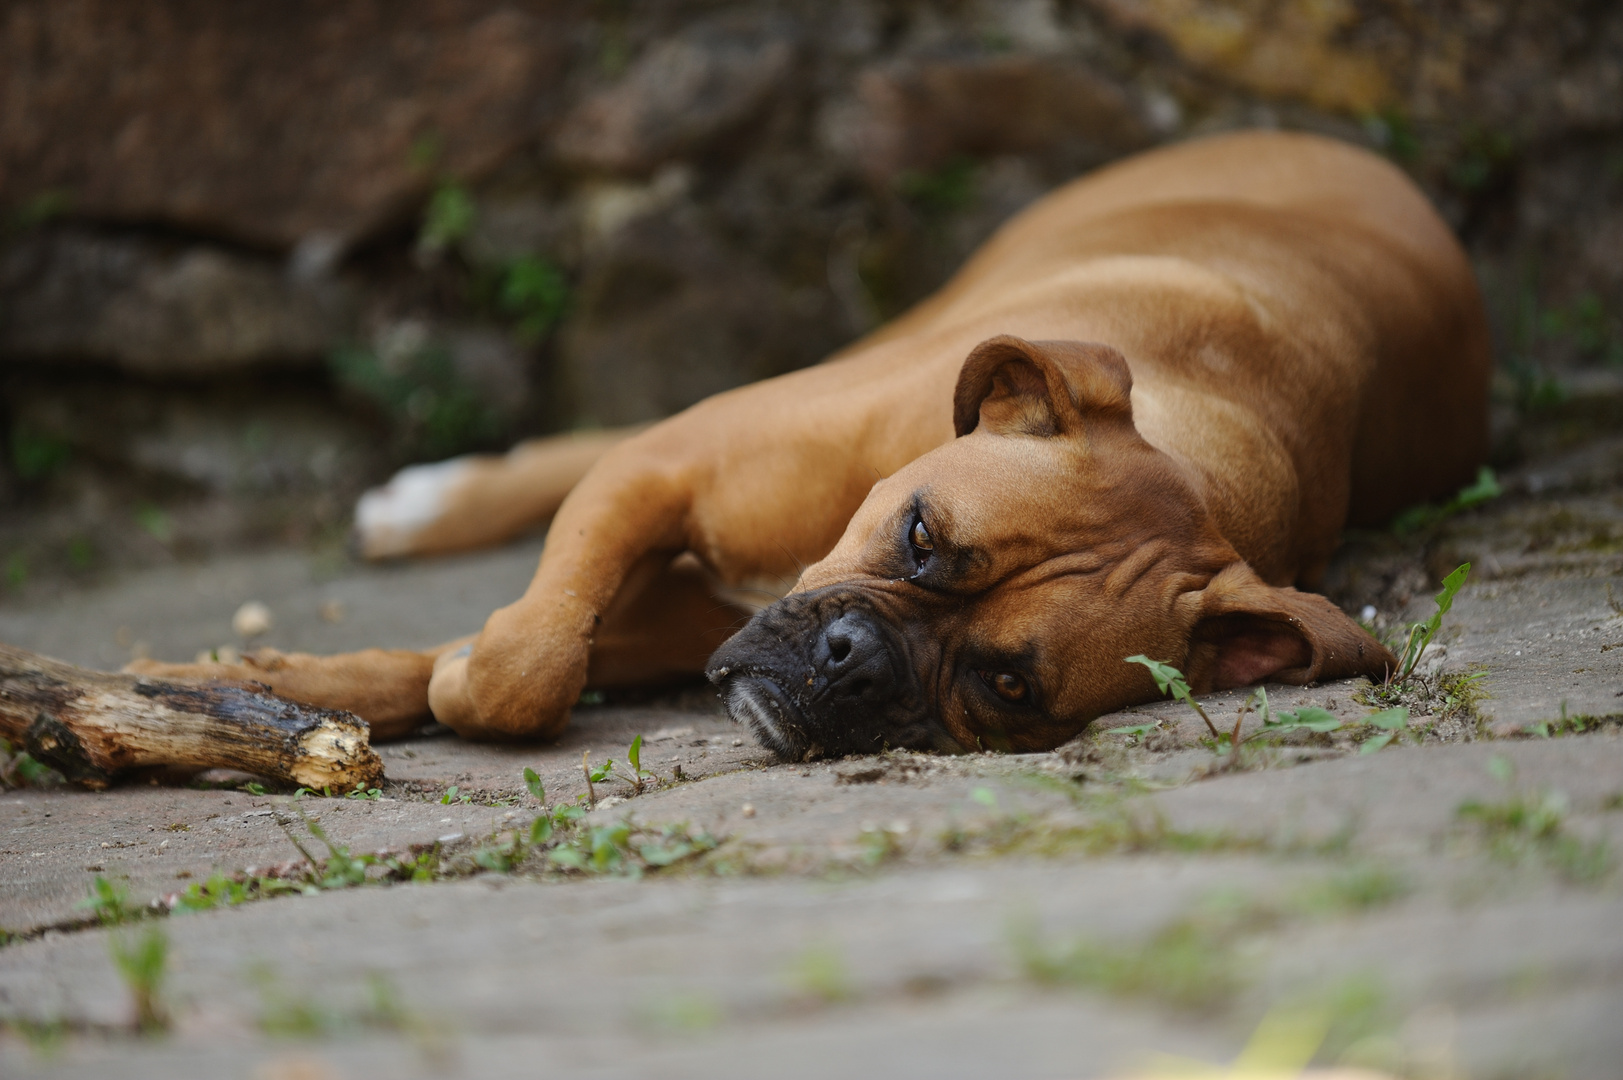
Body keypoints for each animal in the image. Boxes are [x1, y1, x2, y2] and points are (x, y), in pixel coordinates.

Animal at [133, 130, 1486, 756]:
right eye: (922, 536)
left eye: (1007, 686)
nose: (850, 660)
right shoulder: (664, 472)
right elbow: (531, 655)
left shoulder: (675, 607)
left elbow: (512, 655)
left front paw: (276, 686)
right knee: (589, 447)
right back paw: (430, 502)